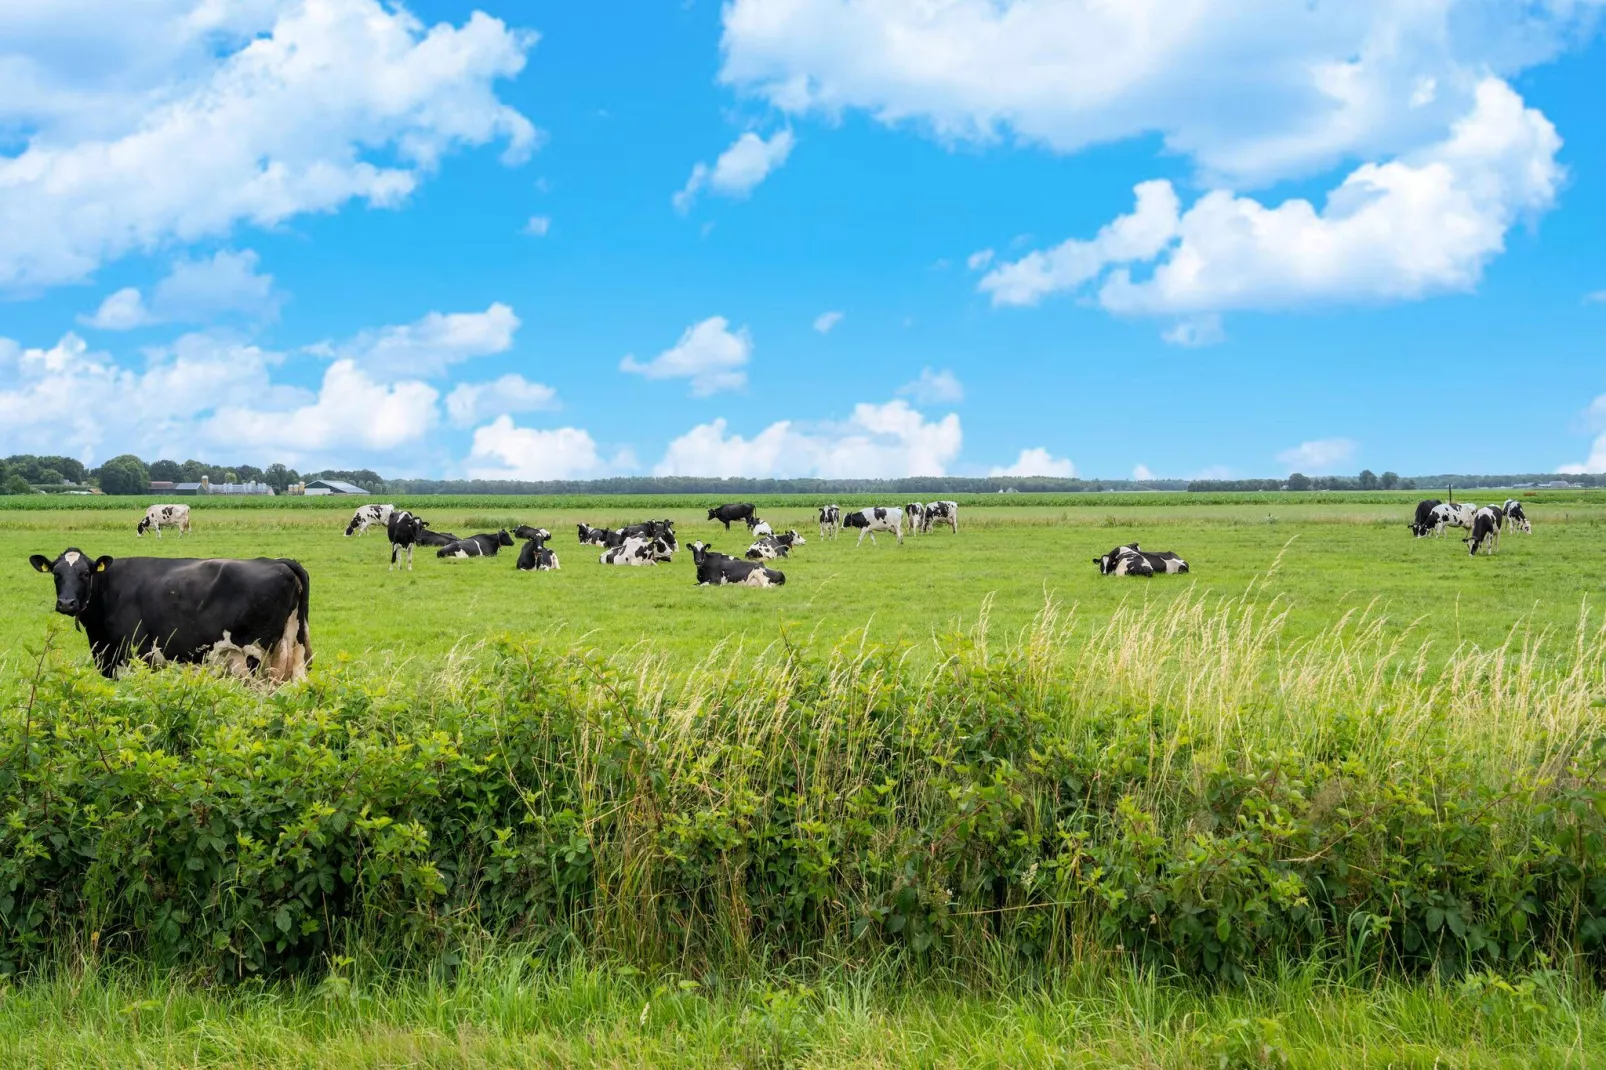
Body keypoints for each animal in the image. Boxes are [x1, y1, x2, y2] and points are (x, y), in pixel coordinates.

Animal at [29, 546, 313, 677]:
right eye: (56, 574)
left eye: (85, 574)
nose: (67, 603)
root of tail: (277, 562)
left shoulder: (134, 656)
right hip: (294, 651)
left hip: (258, 656)